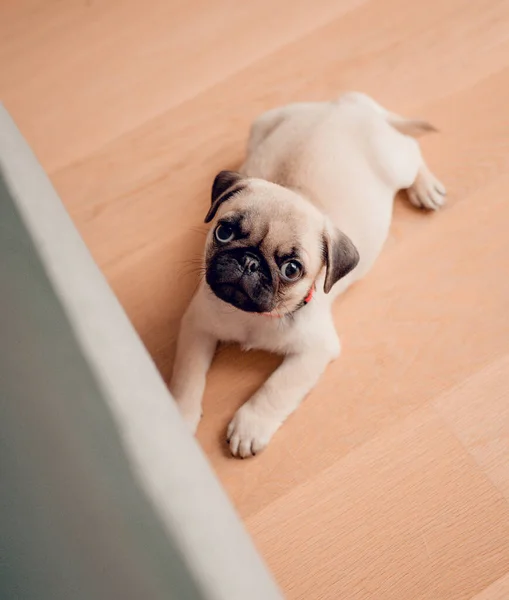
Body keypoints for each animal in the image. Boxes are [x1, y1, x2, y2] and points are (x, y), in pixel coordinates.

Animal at [169, 91, 442, 458]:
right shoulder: (197, 325)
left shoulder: (315, 351)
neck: (253, 317)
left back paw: (425, 187)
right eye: (224, 232)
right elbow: (188, 374)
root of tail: (346, 105)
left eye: (291, 269)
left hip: (396, 161)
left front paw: (251, 426)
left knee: (413, 150)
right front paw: (179, 416)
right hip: (261, 125)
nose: (249, 261)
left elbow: (277, 388)